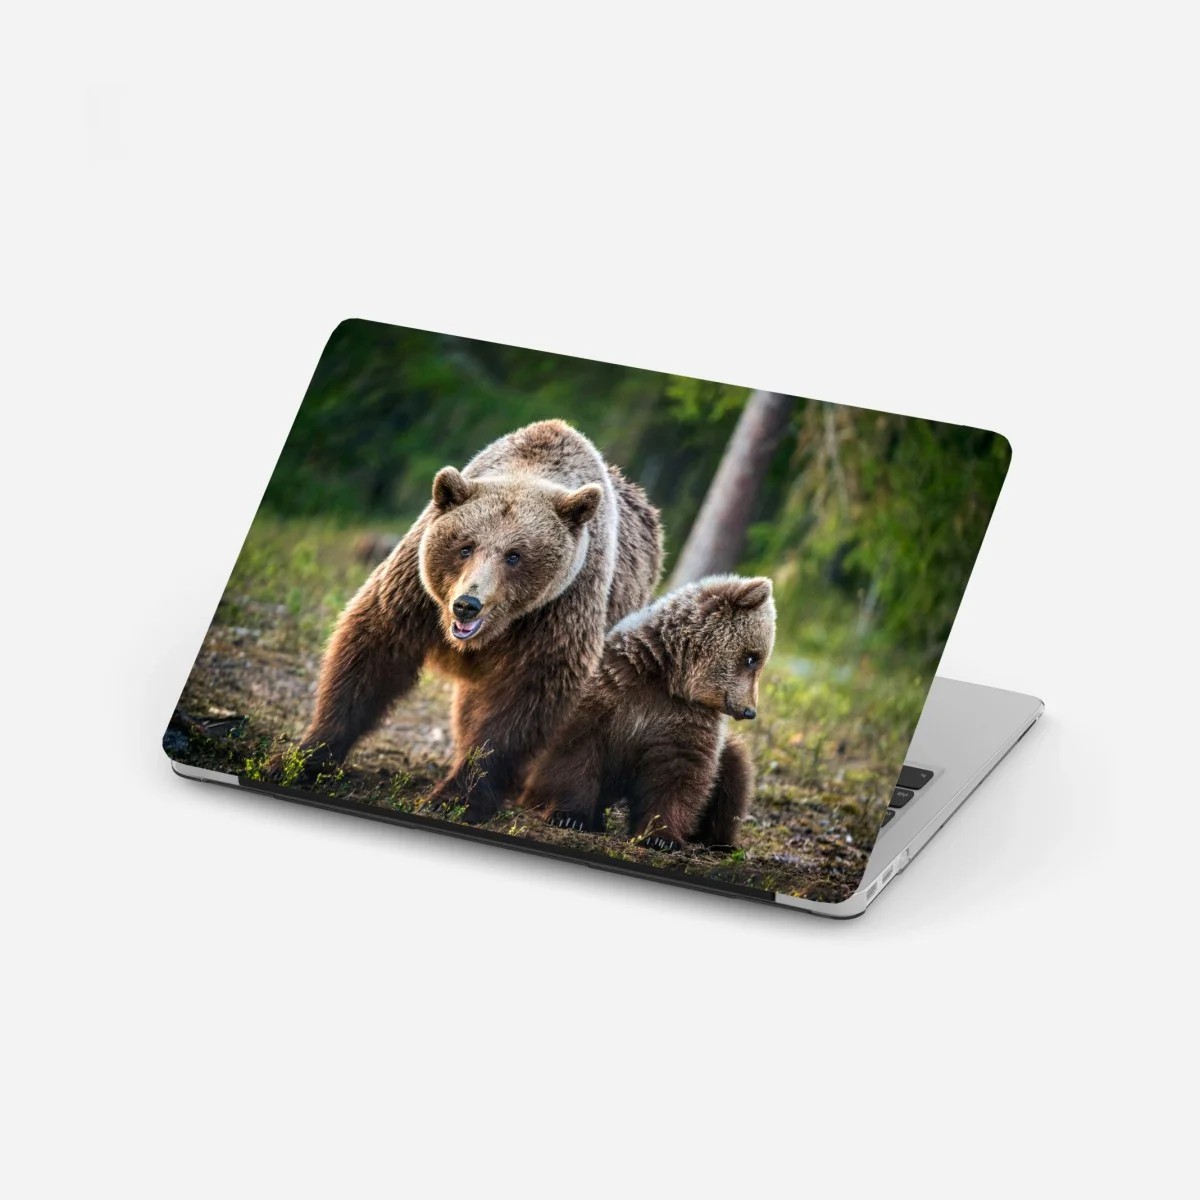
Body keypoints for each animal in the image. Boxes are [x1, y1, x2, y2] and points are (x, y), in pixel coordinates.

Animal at [293, 419, 663, 823]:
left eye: (514, 555)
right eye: (465, 546)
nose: (467, 605)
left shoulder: (560, 608)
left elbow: (523, 699)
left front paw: (456, 796)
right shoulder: (417, 590)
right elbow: (372, 651)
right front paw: (305, 757)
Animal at [519, 574, 777, 851]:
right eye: (752, 658)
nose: (750, 711)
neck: (668, 676)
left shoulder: (684, 720)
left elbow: (678, 774)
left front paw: (660, 837)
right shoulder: (609, 690)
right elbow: (575, 749)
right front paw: (569, 816)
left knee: (734, 771)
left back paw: (718, 841)